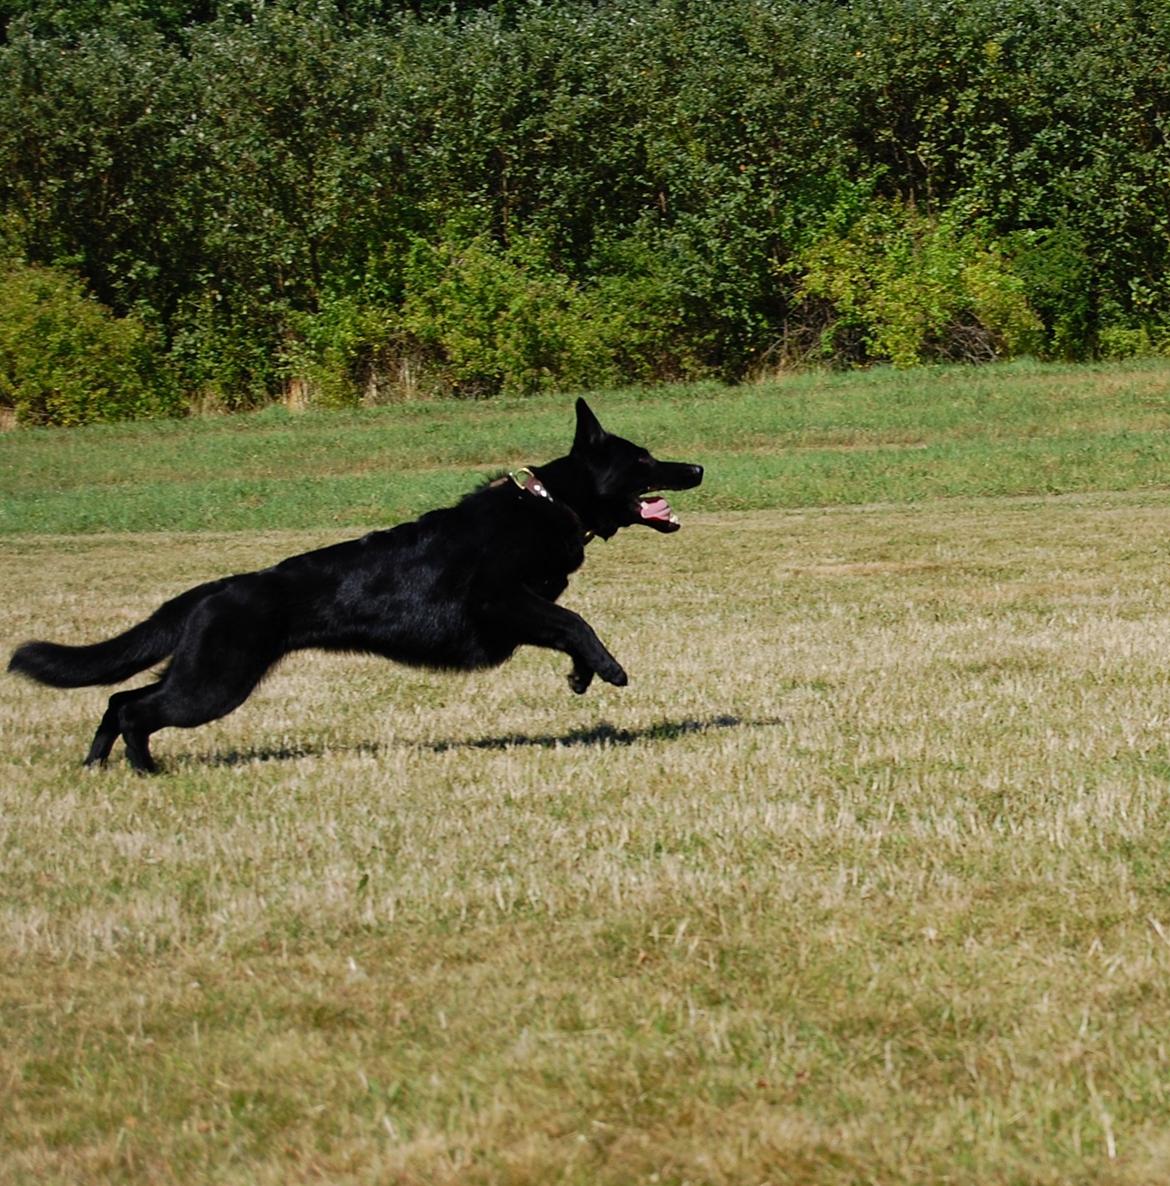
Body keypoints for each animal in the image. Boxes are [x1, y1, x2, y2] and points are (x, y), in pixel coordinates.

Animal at [9, 398, 706, 768]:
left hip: (199, 675)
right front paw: (608, 669)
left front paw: (581, 676)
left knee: (117, 699)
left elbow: (565, 627)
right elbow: (574, 620)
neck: (549, 503)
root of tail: (215, 589)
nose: (698, 468)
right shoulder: (500, 600)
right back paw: (143, 769)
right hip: (212, 684)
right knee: (134, 709)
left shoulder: (518, 611)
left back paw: (96, 766)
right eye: (644, 459)